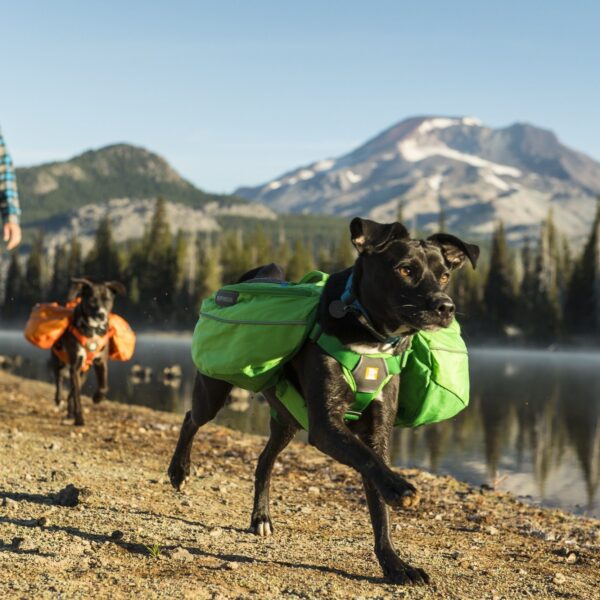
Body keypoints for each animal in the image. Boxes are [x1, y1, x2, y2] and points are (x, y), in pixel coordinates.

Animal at [51, 278, 125, 426]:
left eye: (107, 299)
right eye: (92, 300)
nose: (101, 315)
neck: (92, 330)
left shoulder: (100, 361)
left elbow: (103, 385)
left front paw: (97, 398)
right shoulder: (75, 365)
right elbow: (76, 395)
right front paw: (79, 419)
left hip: (84, 371)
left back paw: (69, 413)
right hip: (58, 359)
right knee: (59, 378)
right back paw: (59, 399)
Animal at [168, 218, 478, 584]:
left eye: (444, 275)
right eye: (405, 270)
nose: (446, 307)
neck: (371, 338)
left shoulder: (376, 430)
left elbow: (378, 501)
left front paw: (394, 564)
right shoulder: (326, 424)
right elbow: (368, 460)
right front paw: (399, 488)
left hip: (286, 420)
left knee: (264, 461)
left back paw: (261, 517)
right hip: (214, 392)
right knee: (191, 417)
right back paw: (179, 471)